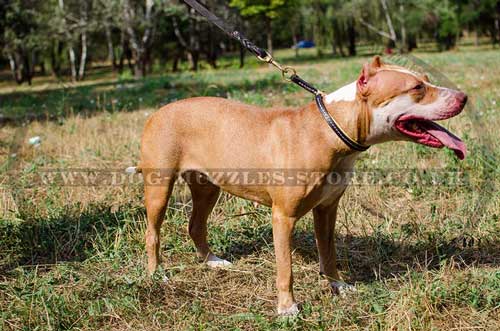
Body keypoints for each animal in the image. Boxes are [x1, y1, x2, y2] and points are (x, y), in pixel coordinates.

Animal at [127, 57, 466, 316]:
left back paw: (212, 262)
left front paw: (338, 286)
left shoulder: (327, 210)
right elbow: (285, 269)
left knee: (196, 224)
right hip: (160, 189)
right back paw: (157, 274)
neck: (332, 129)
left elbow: (328, 253)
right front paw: (287, 308)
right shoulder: (283, 217)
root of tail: (158, 111)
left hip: (208, 187)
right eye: (417, 88)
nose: (463, 97)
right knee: (152, 233)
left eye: (425, 80)